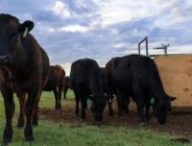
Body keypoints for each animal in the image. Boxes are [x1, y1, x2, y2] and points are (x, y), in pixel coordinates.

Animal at [0, 13, 49, 144]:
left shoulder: (34, 86)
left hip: (40, 87)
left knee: (35, 103)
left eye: (14, 36)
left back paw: (35, 121)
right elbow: (9, 109)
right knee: (22, 102)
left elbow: (29, 108)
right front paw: (7, 136)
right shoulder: (4, 86)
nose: (2, 58)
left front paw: (29, 135)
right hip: (20, 90)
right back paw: (20, 122)